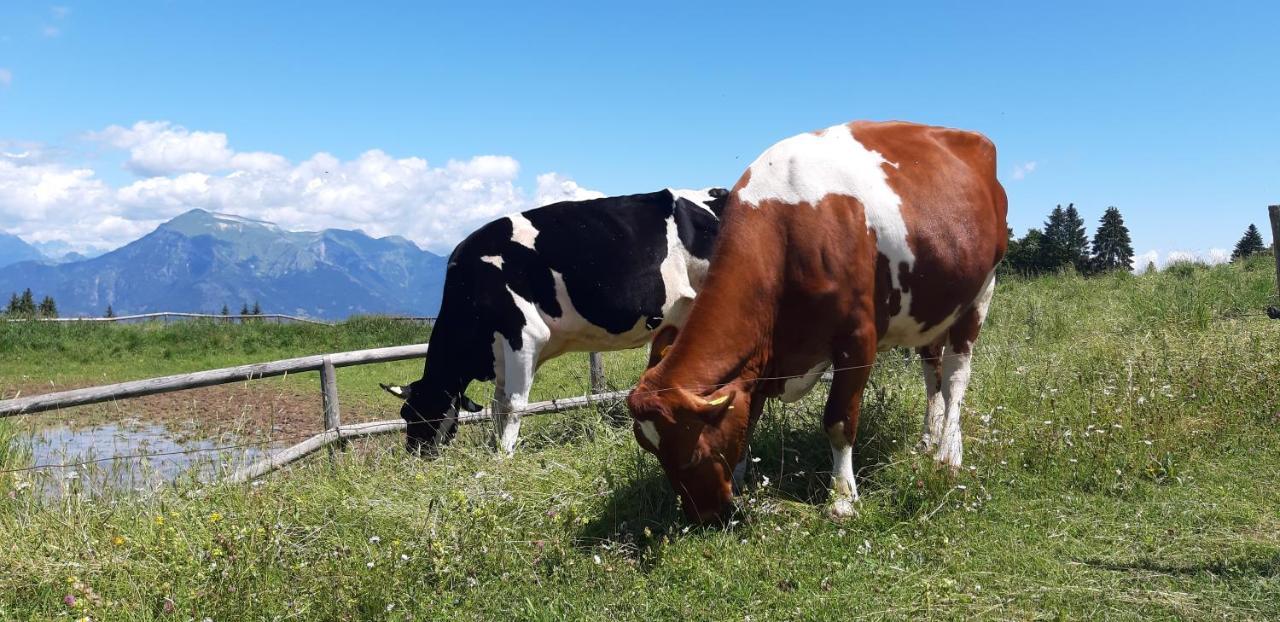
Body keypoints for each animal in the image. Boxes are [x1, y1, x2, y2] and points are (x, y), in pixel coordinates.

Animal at [381, 186, 732, 455]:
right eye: (403, 414)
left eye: (417, 415)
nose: (415, 454)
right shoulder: (502, 353)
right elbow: (498, 404)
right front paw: (496, 446)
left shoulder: (523, 336)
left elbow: (513, 405)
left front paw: (503, 455)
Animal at [624, 119, 1003, 522]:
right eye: (656, 455)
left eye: (692, 455)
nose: (705, 516)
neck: (788, 228)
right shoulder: (760, 362)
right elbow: (748, 418)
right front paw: (741, 481)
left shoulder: (858, 338)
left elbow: (838, 420)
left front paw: (842, 497)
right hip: (930, 310)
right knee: (933, 374)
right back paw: (929, 440)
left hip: (980, 294)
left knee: (956, 379)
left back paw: (949, 454)